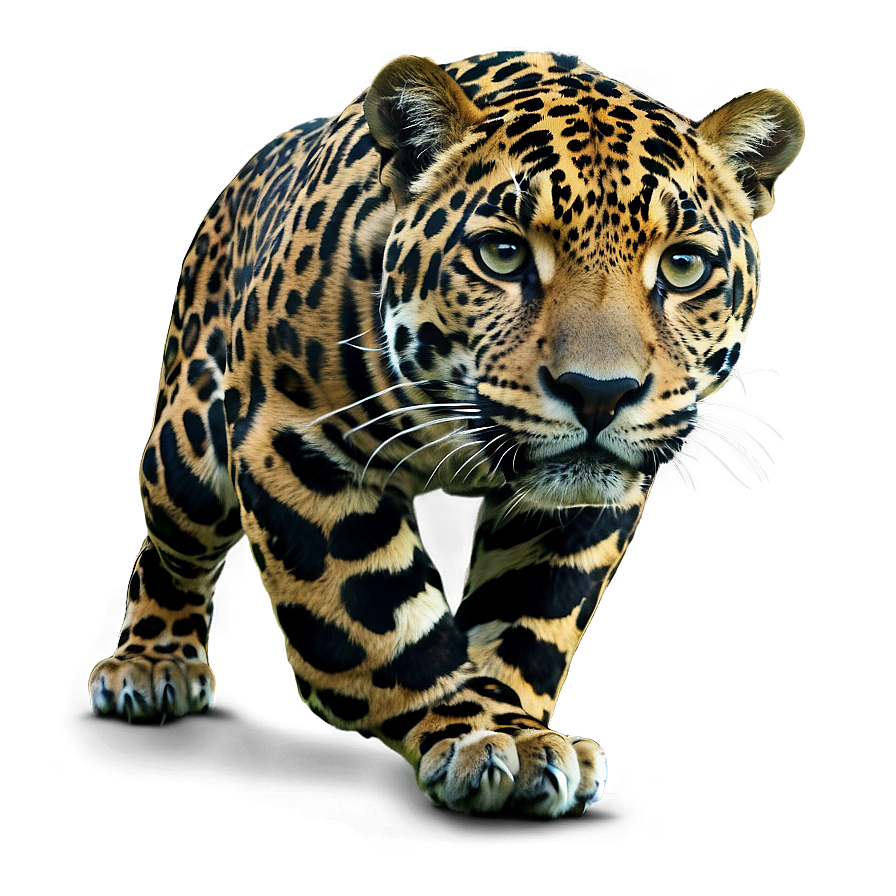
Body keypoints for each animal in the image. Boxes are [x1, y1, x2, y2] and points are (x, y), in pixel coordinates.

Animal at [88, 50, 803, 816]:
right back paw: (151, 665)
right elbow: (380, 622)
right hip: (187, 447)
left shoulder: (571, 505)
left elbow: (529, 618)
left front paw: (518, 731)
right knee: (171, 543)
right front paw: (485, 734)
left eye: (682, 266)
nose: (600, 393)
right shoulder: (296, 441)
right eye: (502, 254)